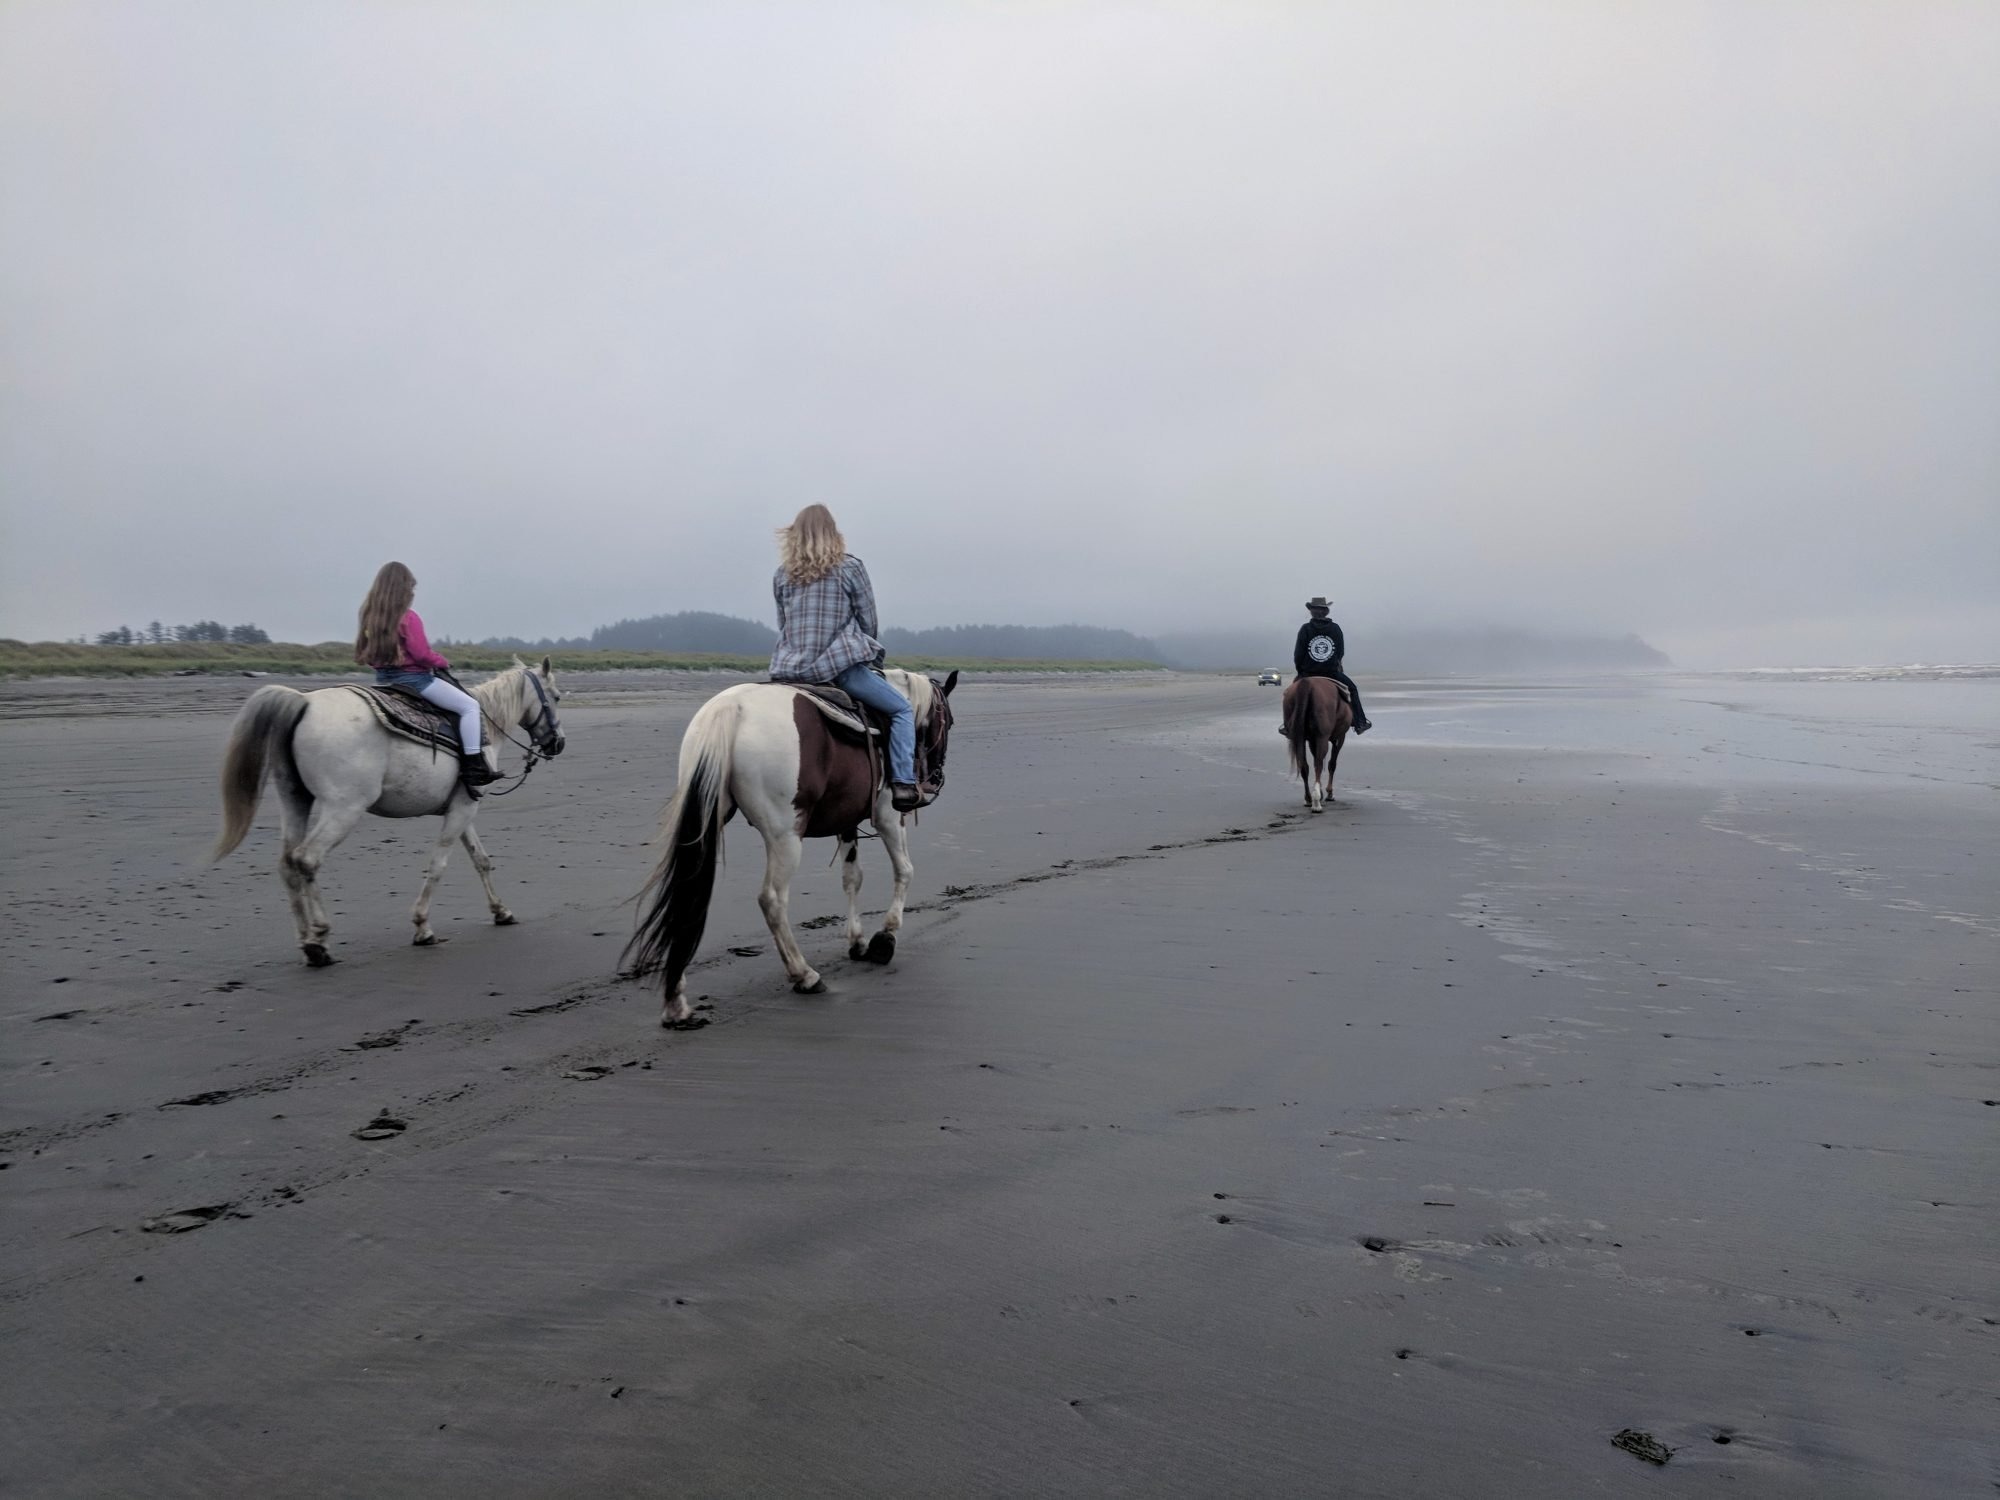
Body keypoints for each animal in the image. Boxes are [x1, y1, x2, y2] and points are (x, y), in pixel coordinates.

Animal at [213, 660, 564, 968]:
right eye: (557, 697)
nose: (558, 743)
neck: (483, 726)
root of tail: (304, 702)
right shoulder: (464, 808)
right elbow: (438, 866)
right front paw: (422, 926)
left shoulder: (462, 807)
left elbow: (481, 859)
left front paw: (501, 912)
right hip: (344, 808)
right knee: (307, 858)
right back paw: (319, 940)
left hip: (295, 800)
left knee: (287, 864)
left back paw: (305, 940)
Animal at [628, 676, 964, 1032]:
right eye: (949, 721)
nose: (935, 779)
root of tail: (731, 708)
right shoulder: (888, 815)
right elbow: (905, 870)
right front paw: (884, 939)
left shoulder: (847, 821)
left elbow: (852, 878)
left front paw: (857, 941)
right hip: (785, 836)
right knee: (772, 900)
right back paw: (804, 975)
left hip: (705, 820)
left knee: (688, 896)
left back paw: (676, 1004)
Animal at [1288, 680, 1352, 816]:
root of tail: (1307, 683)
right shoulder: (1340, 737)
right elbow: (1331, 764)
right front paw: (1329, 793)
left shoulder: (1312, 740)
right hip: (1322, 737)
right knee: (1319, 765)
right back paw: (1316, 802)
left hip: (1300, 738)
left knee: (1304, 766)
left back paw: (1308, 799)